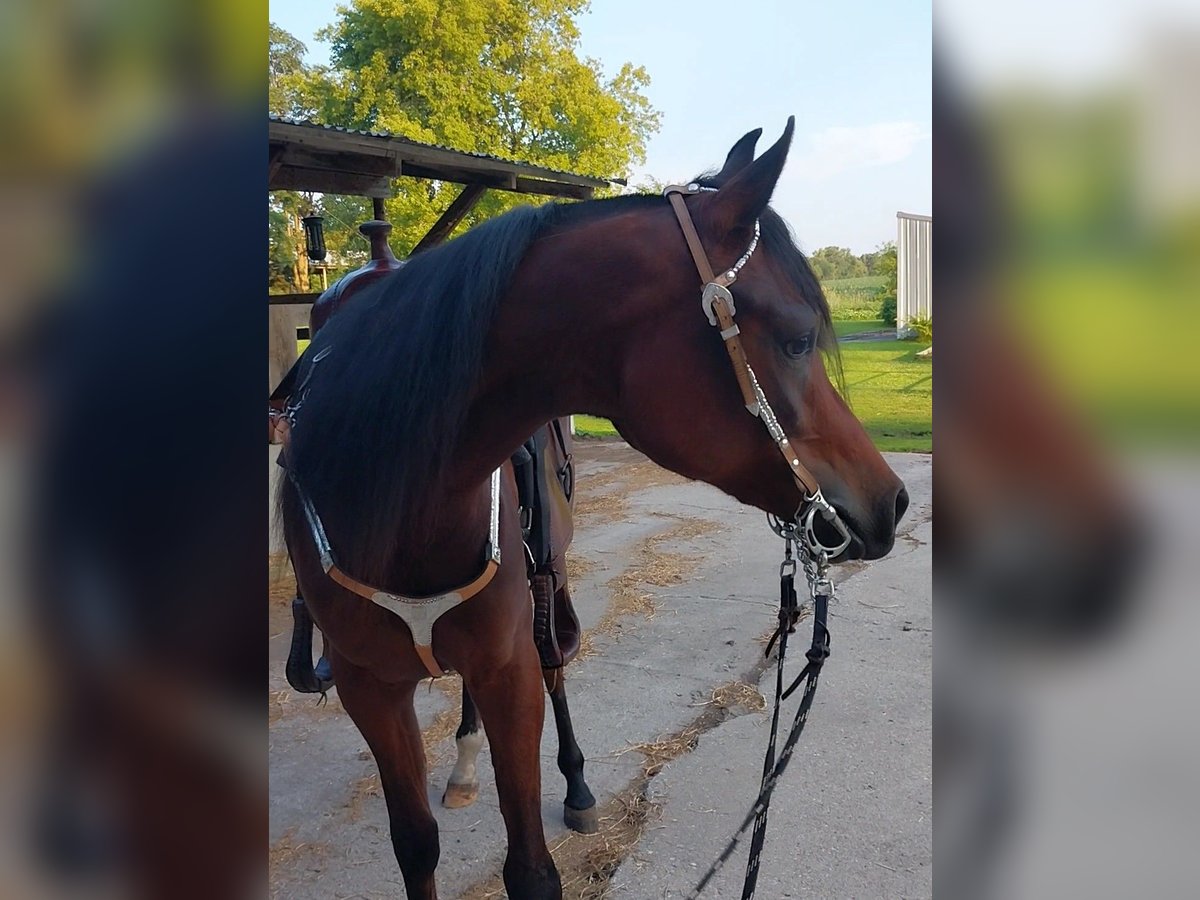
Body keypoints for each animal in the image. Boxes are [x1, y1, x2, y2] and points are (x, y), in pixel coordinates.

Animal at [276, 121, 902, 900]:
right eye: (795, 339)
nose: (892, 502)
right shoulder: (370, 689)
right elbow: (415, 844)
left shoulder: (508, 670)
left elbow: (531, 866)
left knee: (555, 671)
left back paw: (570, 783)